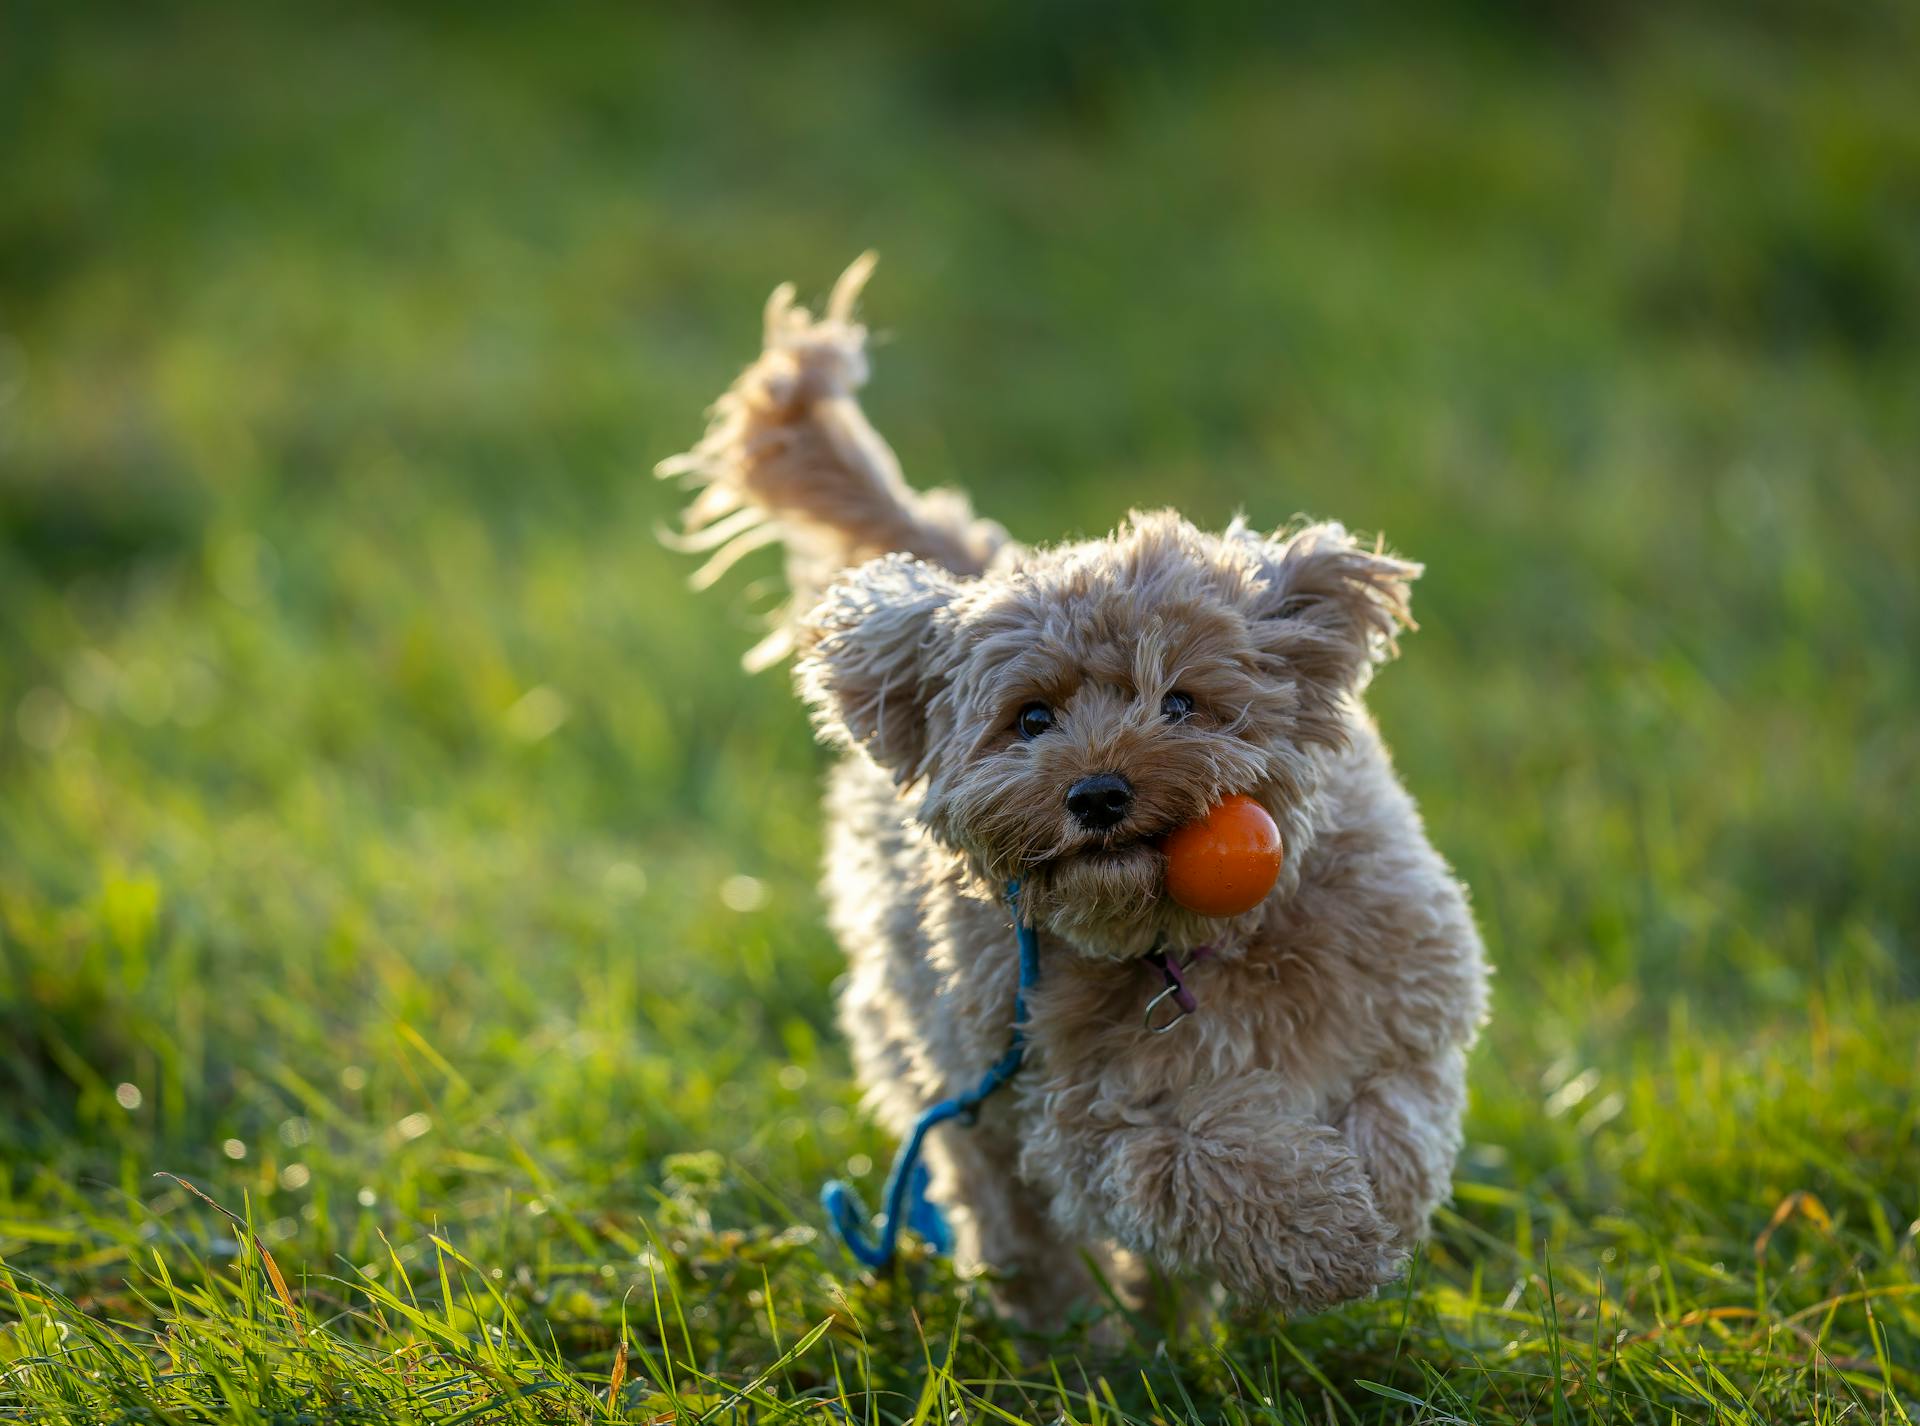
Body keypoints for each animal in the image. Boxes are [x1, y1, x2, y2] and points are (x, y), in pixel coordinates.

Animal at [668, 257, 1489, 1328]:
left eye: (1182, 702)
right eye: (1031, 720)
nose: (1097, 793)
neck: (1192, 946)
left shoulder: (1405, 1016)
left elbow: (1395, 1120)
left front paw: (1369, 1216)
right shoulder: (1088, 1110)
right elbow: (1204, 1158)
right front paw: (1328, 1238)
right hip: (947, 1070)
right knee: (1007, 1211)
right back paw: (1065, 1331)